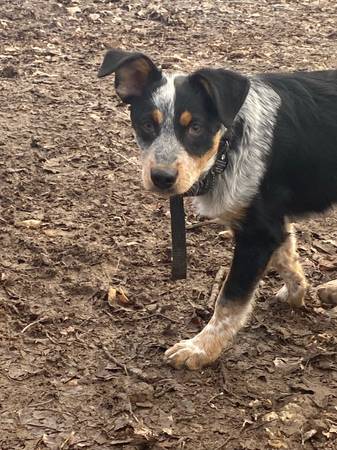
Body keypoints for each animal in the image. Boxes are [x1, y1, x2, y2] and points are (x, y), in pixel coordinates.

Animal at [97, 51, 336, 370]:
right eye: (147, 124)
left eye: (196, 127)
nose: (162, 178)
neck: (228, 145)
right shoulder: (273, 222)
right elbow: (287, 258)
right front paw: (297, 294)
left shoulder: (258, 233)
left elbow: (229, 301)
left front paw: (200, 349)